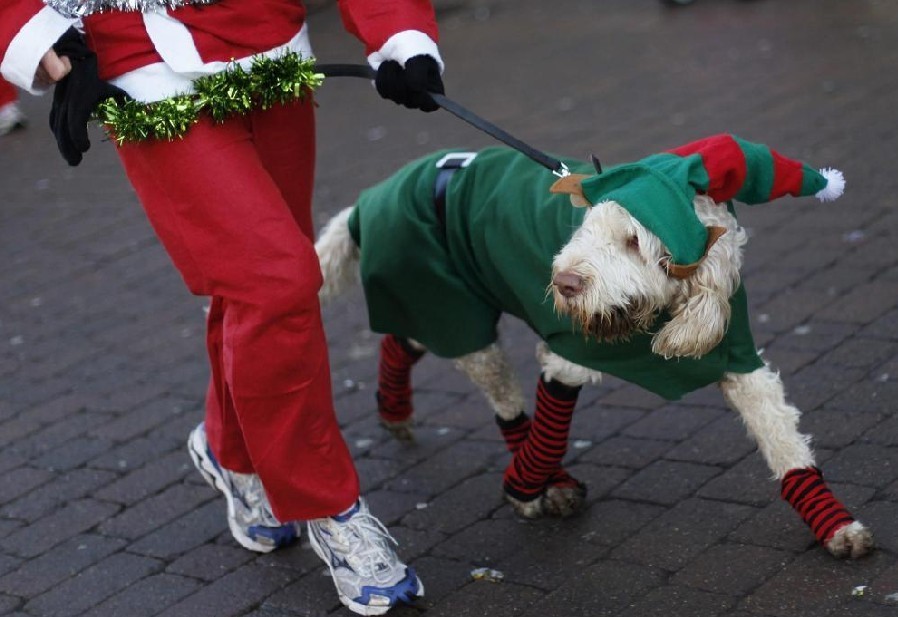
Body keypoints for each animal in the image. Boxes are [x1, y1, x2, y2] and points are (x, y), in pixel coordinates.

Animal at [314, 135, 868, 560]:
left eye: (634, 241)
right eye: (587, 228)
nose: (563, 283)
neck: (661, 309)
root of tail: (370, 199)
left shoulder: (739, 360)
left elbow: (784, 442)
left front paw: (835, 525)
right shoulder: (570, 356)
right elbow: (549, 431)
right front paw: (524, 486)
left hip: (440, 303)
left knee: (405, 337)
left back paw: (393, 409)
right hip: (453, 310)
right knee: (504, 404)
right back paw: (546, 481)